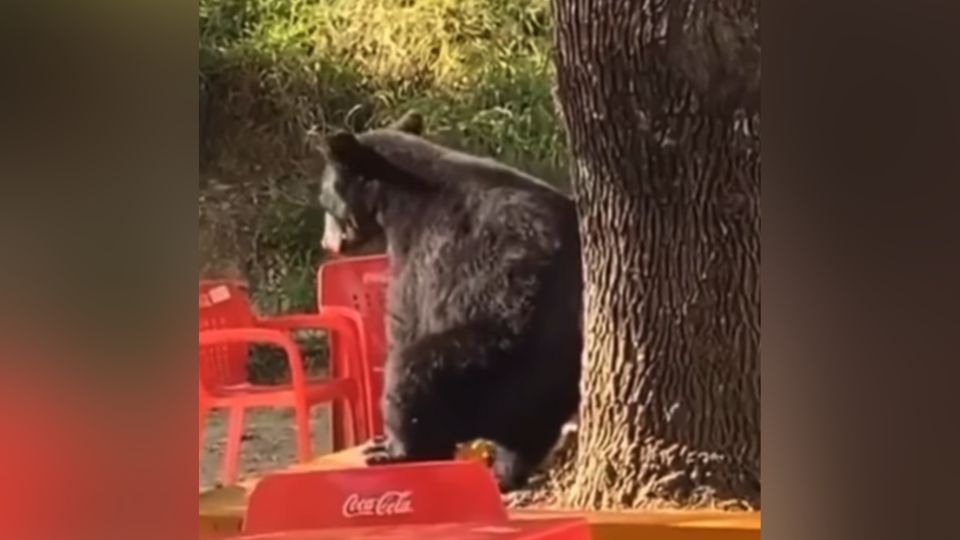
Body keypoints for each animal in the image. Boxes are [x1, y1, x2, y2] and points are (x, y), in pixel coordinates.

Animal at [318, 114, 580, 494]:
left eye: (324, 200)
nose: (327, 244)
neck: (395, 197)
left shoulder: (425, 251)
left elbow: (405, 317)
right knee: (527, 438)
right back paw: (505, 472)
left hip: (486, 356)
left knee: (413, 373)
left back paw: (396, 450)